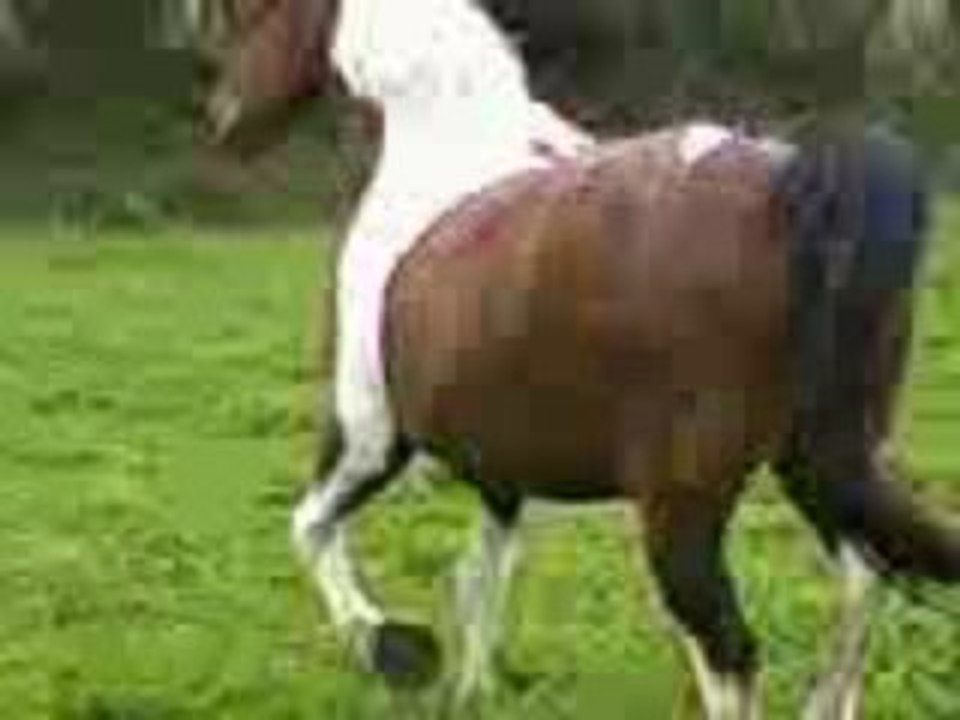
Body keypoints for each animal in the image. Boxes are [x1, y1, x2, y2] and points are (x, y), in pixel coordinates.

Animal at [203, 0, 960, 718]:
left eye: (249, 12)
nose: (224, 122)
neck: (441, 145)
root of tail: (795, 183)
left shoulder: (369, 434)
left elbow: (310, 530)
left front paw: (395, 650)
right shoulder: (498, 471)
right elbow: (480, 579)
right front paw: (470, 694)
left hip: (684, 509)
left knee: (730, 654)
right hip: (818, 463)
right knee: (863, 590)